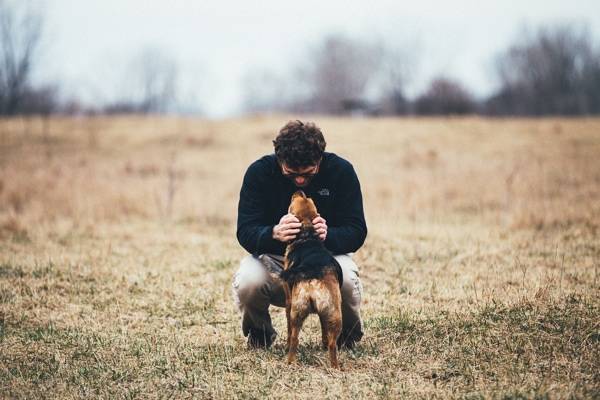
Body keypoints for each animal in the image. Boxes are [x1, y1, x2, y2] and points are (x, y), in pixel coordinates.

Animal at [280, 191, 342, 368]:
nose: (299, 191)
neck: (308, 235)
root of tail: (313, 275)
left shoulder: (288, 299)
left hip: (297, 309)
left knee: (294, 338)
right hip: (333, 314)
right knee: (330, 343)